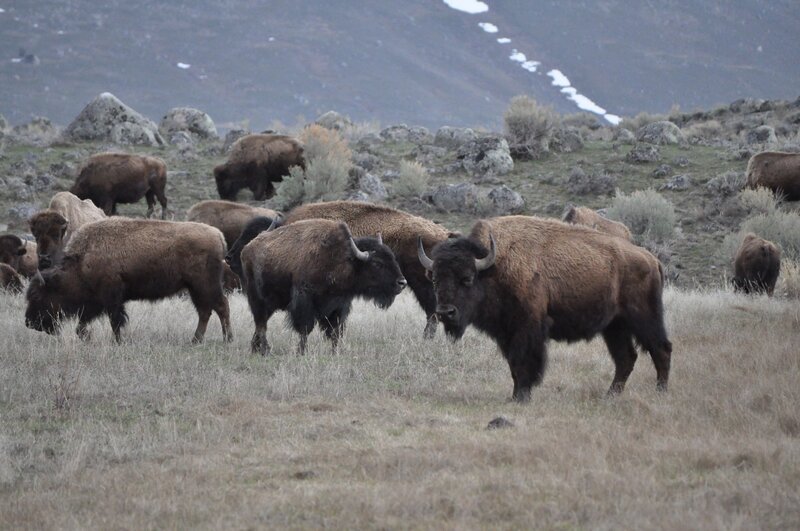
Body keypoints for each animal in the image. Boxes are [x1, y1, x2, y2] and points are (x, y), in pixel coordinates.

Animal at [25, 218, 232, 343]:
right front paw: (88, 337)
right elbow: (83, 324)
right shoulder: (96, 303)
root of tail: (218, 235)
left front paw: (117, 342)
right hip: (195, 288)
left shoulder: (111, 299)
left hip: (205, 285)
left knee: (220, 307)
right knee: (205, 311)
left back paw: (227, 339)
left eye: (37, 296)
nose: (29, 323)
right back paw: (195, 340)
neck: (82, 261)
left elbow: (115, 321)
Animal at [241, 219, 406, 355]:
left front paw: (335, 352)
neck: (343, 259)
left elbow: (335, 332)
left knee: (260, 324)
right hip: (257, 299)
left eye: (392, 257)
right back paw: (264, 350)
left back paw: (255, 349)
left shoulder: (339, 305)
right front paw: (302, 352)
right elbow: (305, 329)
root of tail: (248, 247)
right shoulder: (305, 302)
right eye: (377, 263)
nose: (402, 283)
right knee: (261, 324)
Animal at [418, 215, 672, 401]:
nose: (446, 313)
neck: (495, 267)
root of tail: (652, 260)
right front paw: (515, 395)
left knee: (661, 349)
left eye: (467, 279)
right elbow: (513, 364)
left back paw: (660, 392)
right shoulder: (506, 333)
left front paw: (521, 397)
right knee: (625, 358)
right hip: (614, 327)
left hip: (644, 318)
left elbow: (524, 362)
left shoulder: (528, 328)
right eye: (435, 280)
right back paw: (610, 395)